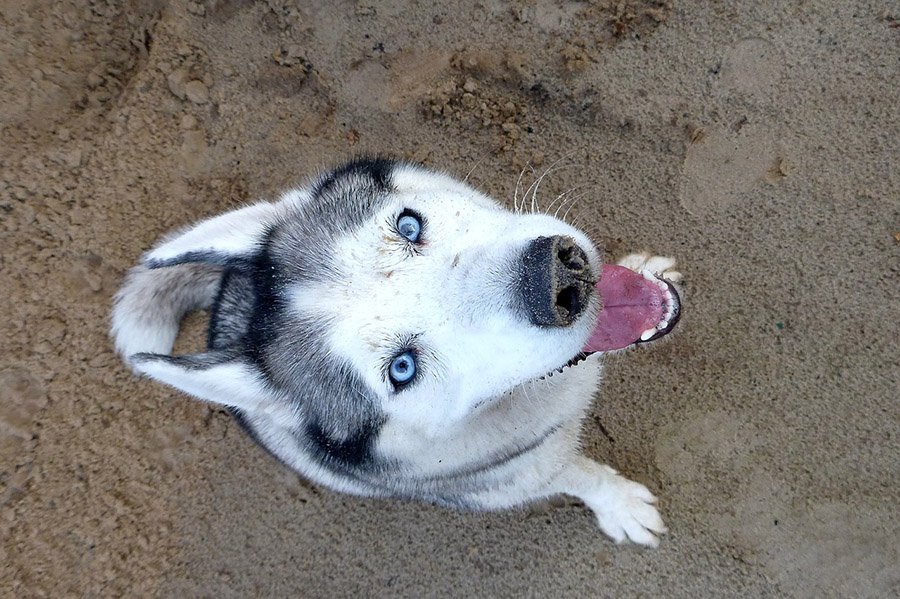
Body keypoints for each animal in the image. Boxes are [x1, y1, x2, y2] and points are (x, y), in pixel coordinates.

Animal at [112, 157, 680, 548]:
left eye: (409, 225)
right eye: (402, 369)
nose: (558, 279)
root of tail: (232, 301)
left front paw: (643, 266)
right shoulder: (525, 475)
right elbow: (580, 475)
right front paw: (620, 506)